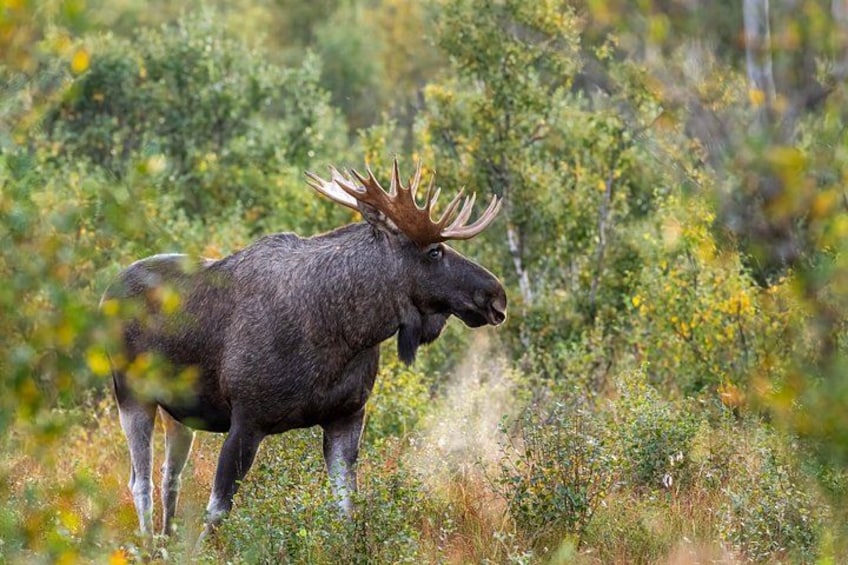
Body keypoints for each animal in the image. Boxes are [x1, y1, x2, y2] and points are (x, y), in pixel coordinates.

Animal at [101, 159, 507, 540]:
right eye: (435, 251)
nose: (496, 295)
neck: (343, 333)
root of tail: (106, 293)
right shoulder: (246, 419)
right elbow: (217, 511)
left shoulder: (347, 416)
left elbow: (346, 509)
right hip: (132, 394)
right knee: (140, 481)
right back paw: (147, 543)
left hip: (180, 414)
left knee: (170, 476)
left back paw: (166, 540)